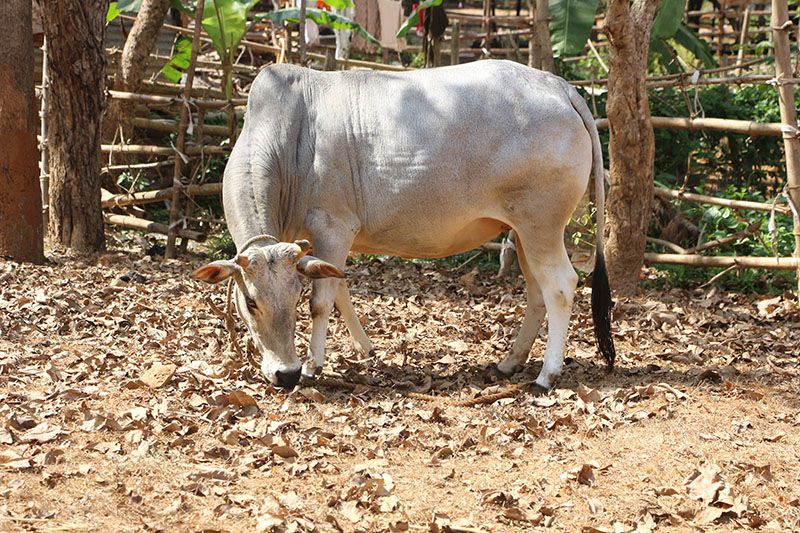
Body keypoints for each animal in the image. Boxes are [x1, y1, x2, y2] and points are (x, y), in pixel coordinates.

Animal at [191, 60, 616, 392]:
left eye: (293, 297)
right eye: (250, 301)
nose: (286, 374)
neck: (289, 139)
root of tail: (557, 85)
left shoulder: (333, 227)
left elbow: (322, 301)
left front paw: (313, 366)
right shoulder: (315, 244)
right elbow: (340, 290)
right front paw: (365, 349)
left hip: (540, 224)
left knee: (560, 286)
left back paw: (547, 374)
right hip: (523, 231)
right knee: (536, 292)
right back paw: (510, 362)